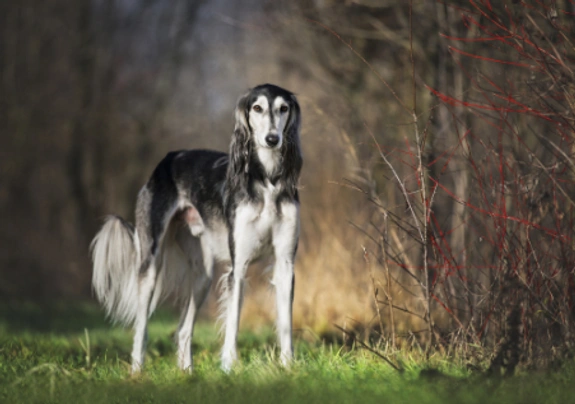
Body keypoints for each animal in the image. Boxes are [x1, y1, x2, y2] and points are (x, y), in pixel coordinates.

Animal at [91, 83, 302, 374]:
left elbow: (286, 324)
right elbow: (233, 322)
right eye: (257, 108)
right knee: (141, 327)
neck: (267, 180)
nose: (272, 139)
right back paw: (136, 371)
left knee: (183, 330)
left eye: (283, 108)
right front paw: (228, 367)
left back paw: (187, 373)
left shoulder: (285, 263)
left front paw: (288, 366)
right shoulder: (239, 266)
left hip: (203, 274)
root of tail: (168, 158)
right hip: (151, 262)